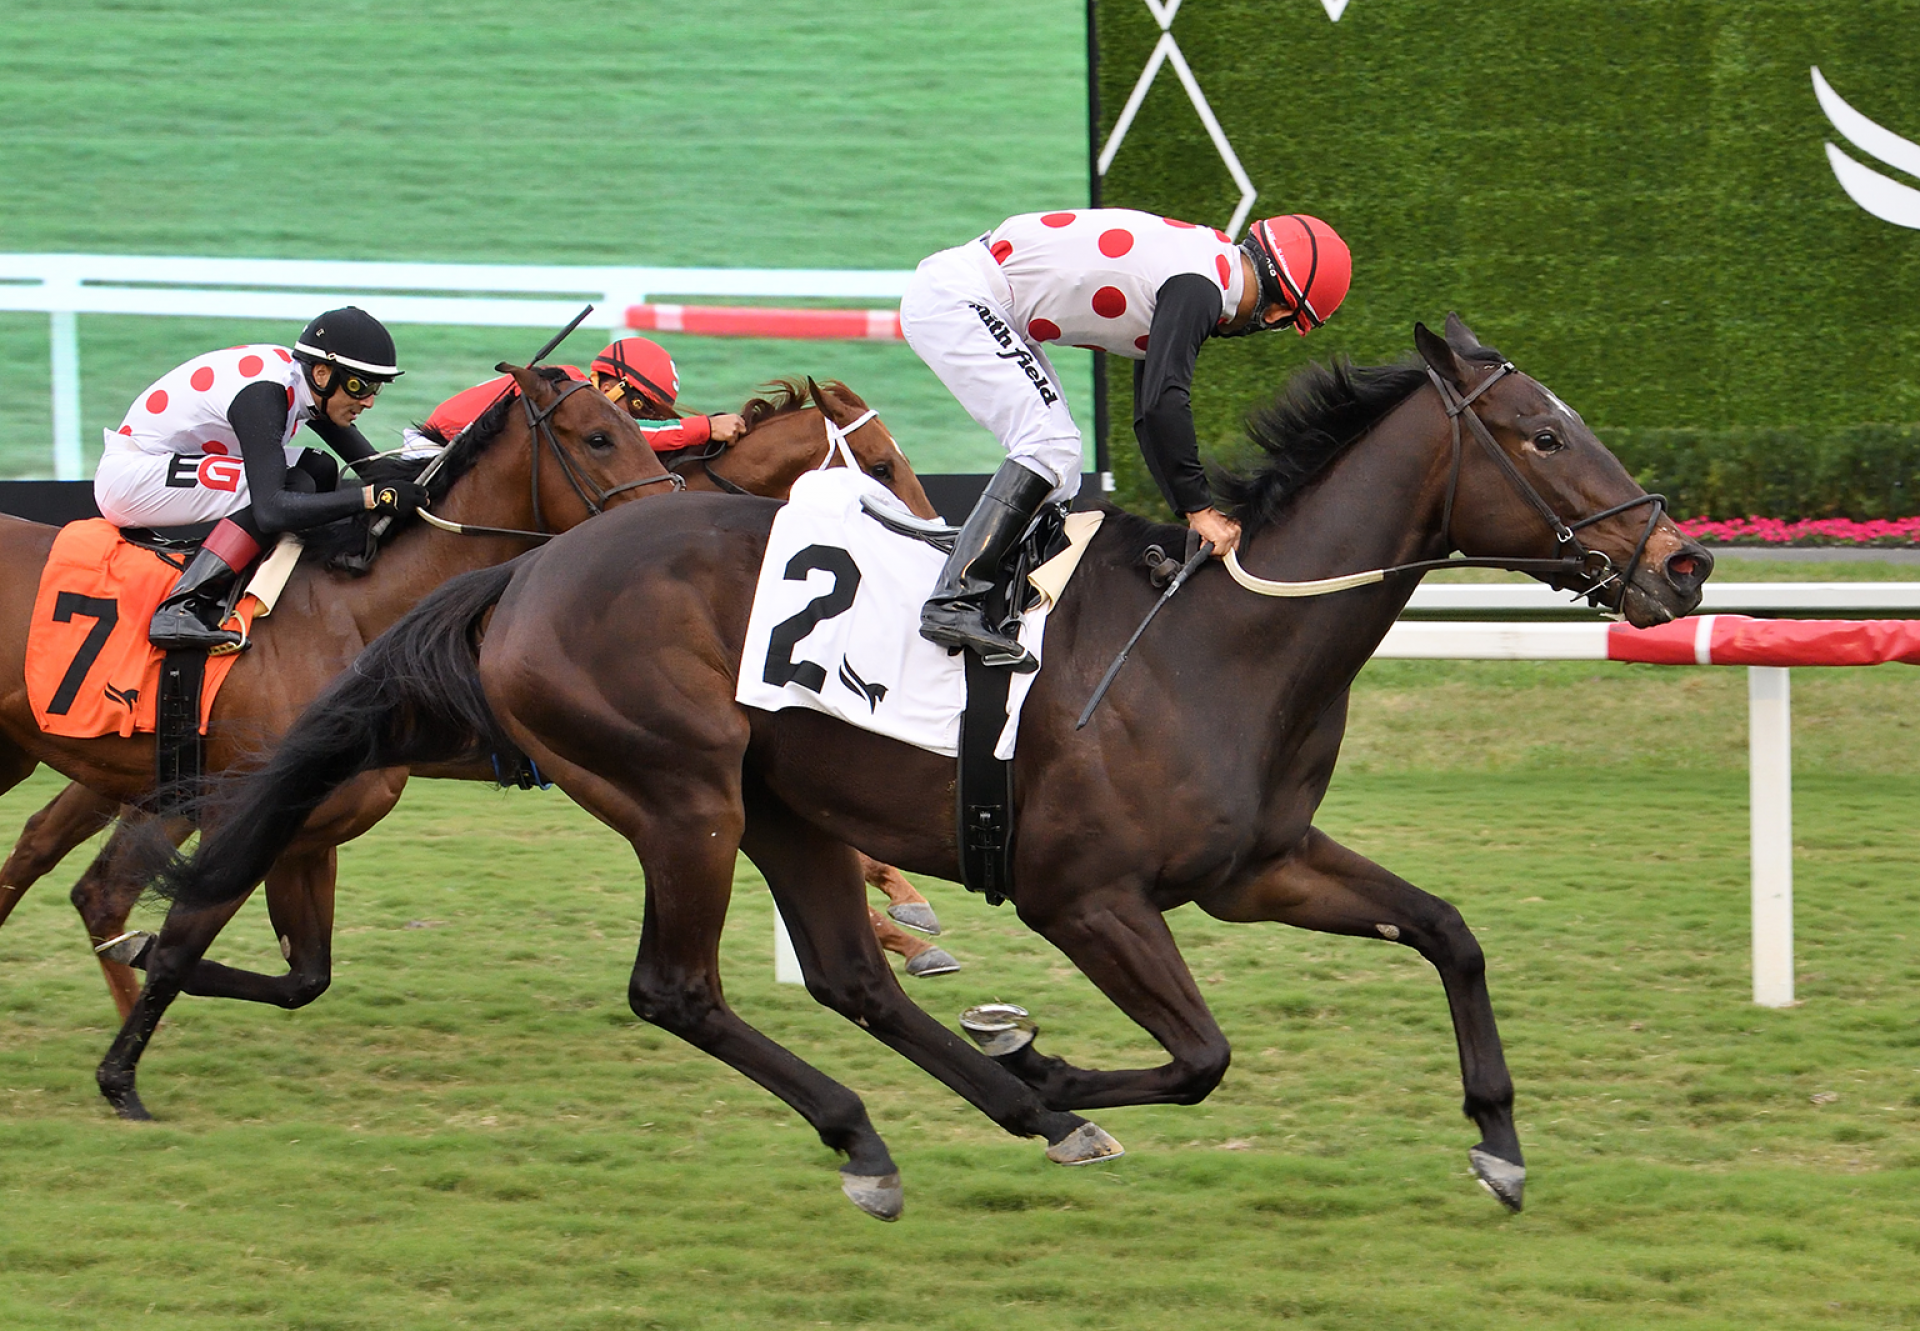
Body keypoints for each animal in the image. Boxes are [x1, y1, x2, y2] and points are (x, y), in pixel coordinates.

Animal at [0, 374, 929, 1014]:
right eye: (883, 464)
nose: (935, 546)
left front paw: (902, 916)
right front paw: (903, 925)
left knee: (66, 866)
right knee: (93, 879)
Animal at [149, 316, 1712, 1221]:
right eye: (1542, 432)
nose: (1684, 560)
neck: (1218, 637)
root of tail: (525, 573)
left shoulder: (1256, 865)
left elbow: (1448, 929)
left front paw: (1500, 1141)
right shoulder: (1087, 892)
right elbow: (1201, 1054)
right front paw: (1057, 1057)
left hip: (783, 799)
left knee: (850, 974)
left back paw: (1004, 1113)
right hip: (684, 792)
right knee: (679, 988)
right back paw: (893, 1134)